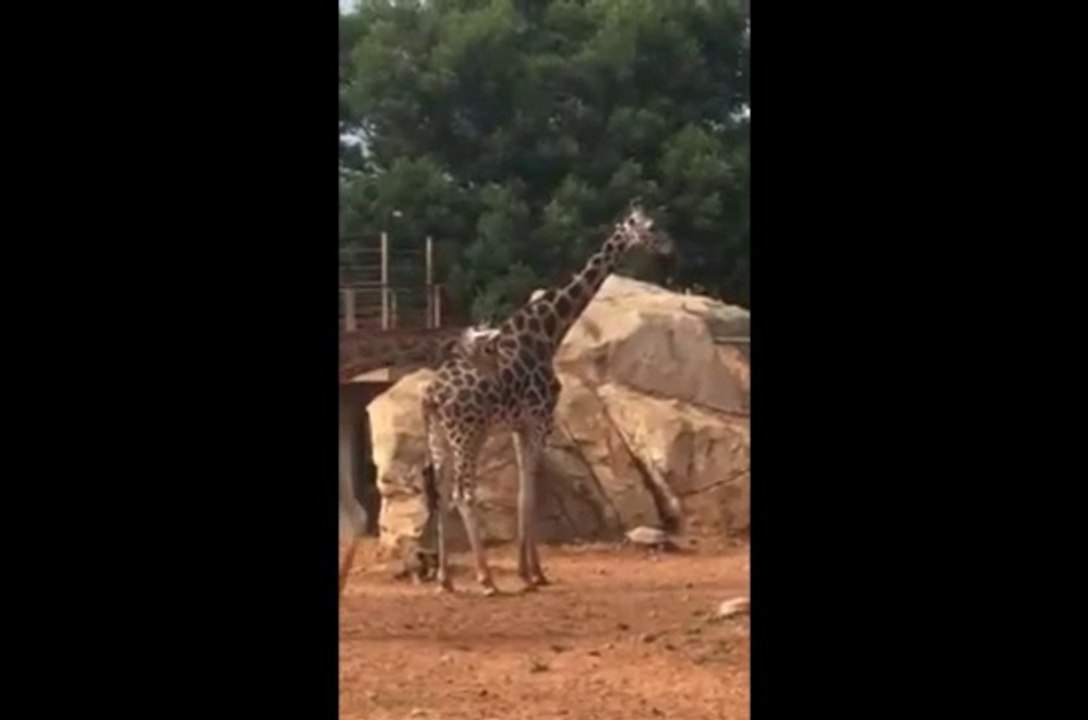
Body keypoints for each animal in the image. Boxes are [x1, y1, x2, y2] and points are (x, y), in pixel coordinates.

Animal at [421, 202, 673, 595]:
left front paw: (527, 570)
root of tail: (433, 394)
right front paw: (533, 573)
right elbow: (532, 488)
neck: (548, 332)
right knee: (463, 494)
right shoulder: (540, 418)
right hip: (469, 433)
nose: (668, 246)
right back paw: (486, 579)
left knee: (443, 490)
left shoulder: (519, 425)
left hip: (440, 435)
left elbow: (524, 489)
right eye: (648, 227)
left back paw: (445, 579)